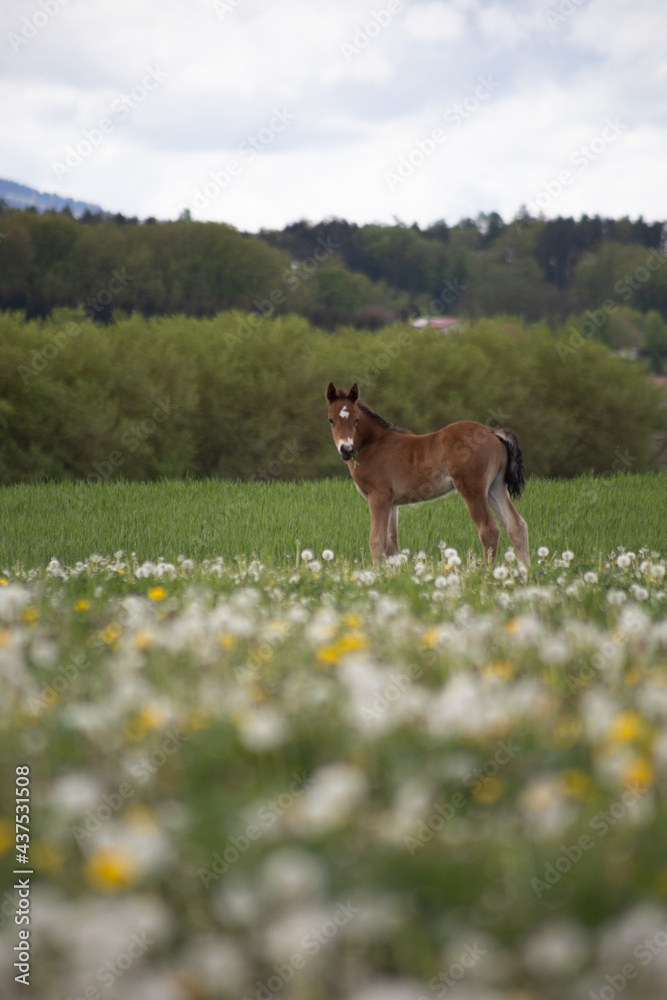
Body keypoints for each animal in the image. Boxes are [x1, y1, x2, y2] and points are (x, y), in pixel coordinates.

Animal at [326, 382, 528, 568]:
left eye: (356, 420)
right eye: (331, 420)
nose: (346, 450)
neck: (374, 445)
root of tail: (493, 431)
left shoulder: (378, 497)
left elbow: (376, 541)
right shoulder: (392, 503)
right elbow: (392, 546)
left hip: (473, 489)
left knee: (489, 529)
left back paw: (486, 573)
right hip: (495, 487)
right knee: (516, 526)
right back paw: (524, 572)